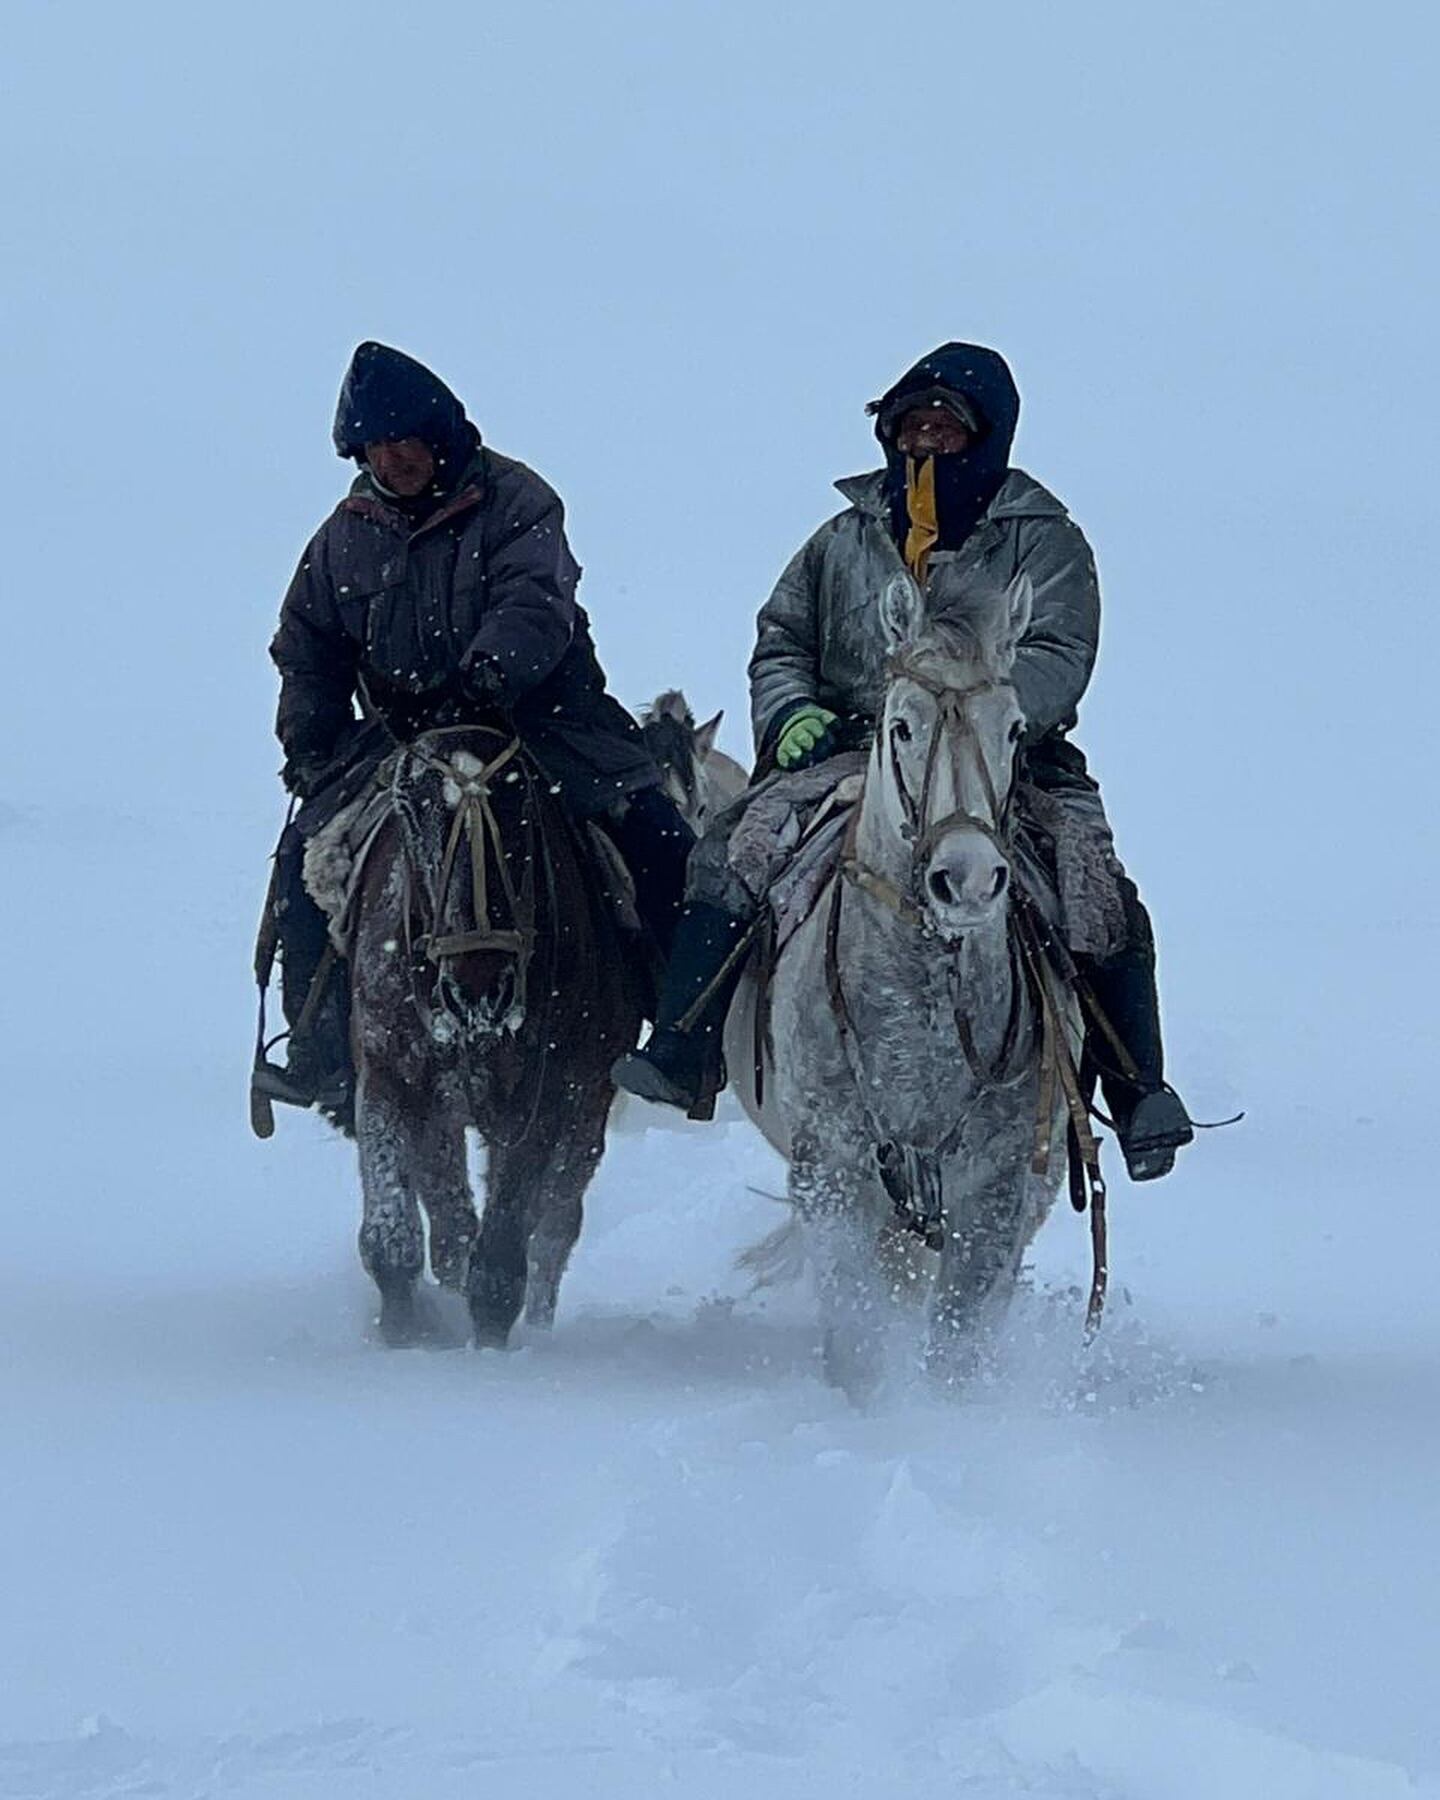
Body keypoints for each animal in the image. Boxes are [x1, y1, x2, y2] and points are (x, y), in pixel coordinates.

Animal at [349, 723, 640, 1346]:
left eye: (520, 798)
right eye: (409, 806)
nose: (478, 988)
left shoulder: (546, 1099)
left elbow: (506, 1253)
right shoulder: (389, 1077)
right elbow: (392, 1239)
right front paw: (401, 1340)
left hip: (587, 1112)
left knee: (554, 1226)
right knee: (453, 1220)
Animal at [730, 576, 1080, 1389]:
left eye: (1015, 731)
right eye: (901, 727)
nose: (968, 878)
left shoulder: (995, 1192)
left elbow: (956, 1341)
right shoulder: (832, 1175)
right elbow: (857, 1338)